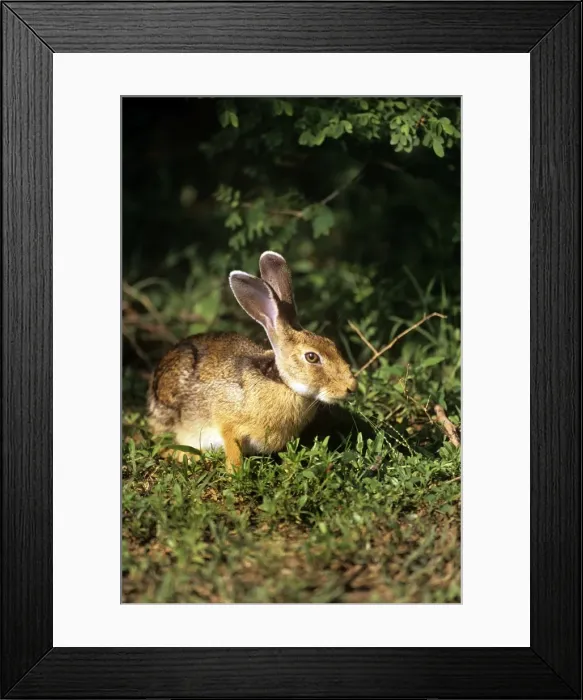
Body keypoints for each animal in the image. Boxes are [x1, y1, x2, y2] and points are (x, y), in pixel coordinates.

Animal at [147, 251, 357, 471]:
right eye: (312, 357)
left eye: (331, 344)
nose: (351, 387)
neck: (282, 383)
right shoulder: (228, 425)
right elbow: (233, 449)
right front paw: (235, 473)